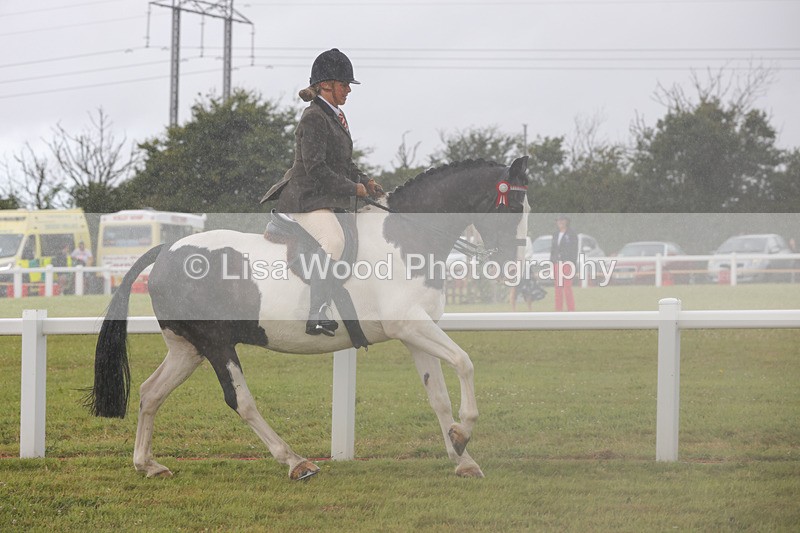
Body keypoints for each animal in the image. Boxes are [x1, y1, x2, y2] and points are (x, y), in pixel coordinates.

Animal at [86, 157, 530, 480]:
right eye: (511, 208)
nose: (514, 269)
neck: (406, 238)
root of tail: (165, 252)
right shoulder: (409, 324)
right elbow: (465, 362)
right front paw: (463, 432)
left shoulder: (414, 332)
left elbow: (438, 395)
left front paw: (462, 456)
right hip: (216, 345)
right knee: (240, 400)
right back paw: (295, 462)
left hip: (188, 348)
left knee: (151, 392)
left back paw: (147, 464)